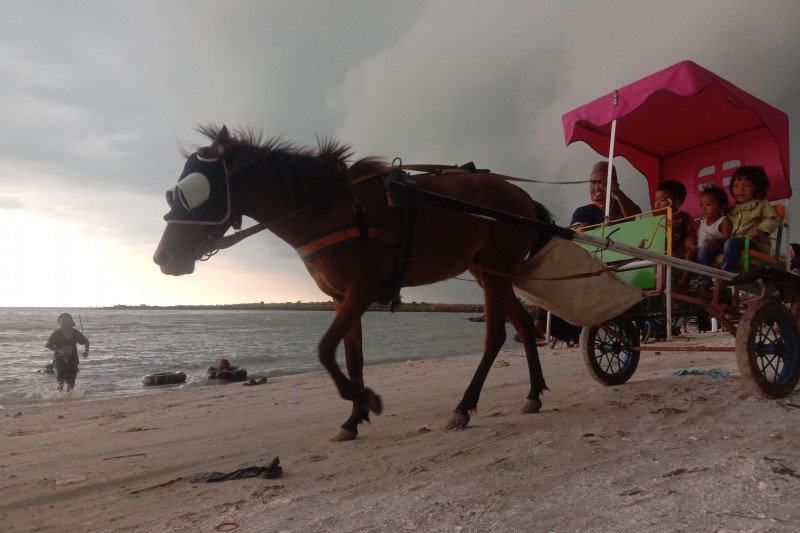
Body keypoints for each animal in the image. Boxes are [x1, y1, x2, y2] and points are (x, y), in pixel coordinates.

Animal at [154, 125, 552, 440]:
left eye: (192, 191)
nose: (162, 258)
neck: (326, 209)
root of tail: (523, 198)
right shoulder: (340, 297)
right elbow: (352, 357)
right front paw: (354, 417)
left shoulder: (362, 291)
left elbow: (325, 350)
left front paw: (365, 400)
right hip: (489, 274)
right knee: (523, 326)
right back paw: (533, 393)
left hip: (494, 272)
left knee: (495, 336)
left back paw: (464, 406)